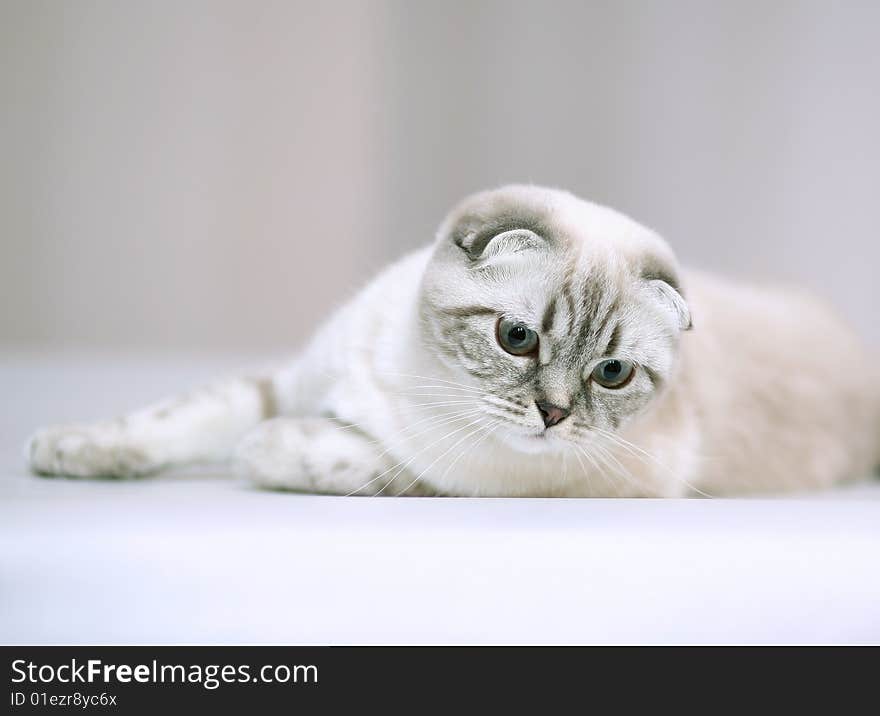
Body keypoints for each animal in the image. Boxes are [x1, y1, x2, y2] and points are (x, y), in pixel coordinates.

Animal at [25, 185, 880, 496]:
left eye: (611, 373)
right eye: (516, 337)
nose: (554, 415)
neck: (414, 373)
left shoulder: (491, 480)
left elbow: (339, 456)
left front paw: (268, 452)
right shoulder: (292, 380)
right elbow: (176, 418)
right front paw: (72, 449)